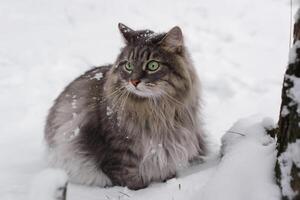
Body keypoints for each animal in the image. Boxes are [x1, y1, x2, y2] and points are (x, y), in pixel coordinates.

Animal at [44, 22, 207, 190]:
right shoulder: (120, 153)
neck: (155, 110)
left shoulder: (168, 148)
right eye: (128, 66)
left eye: (152, 65)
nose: (134, 81)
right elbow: (130, 179)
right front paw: (142, 190)